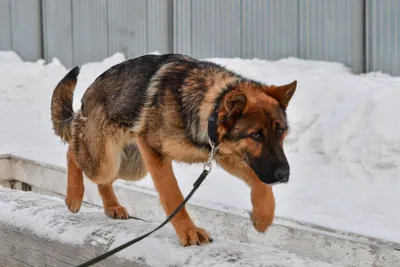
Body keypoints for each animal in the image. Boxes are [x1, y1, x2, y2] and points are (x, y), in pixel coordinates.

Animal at [50, 54, 296, 247]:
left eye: (281, 131)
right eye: (256, 135)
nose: (285, 176)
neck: (210, 105)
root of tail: (85, 99)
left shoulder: (225, 155)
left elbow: (259, 182)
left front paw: (263, 215)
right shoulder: (155, 152)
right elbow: (173, 194)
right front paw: (188, 231)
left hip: (131, 167)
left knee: (103, 179)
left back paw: (112, 206)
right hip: (105, 161)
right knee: (72, 153)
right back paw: (74, 197)